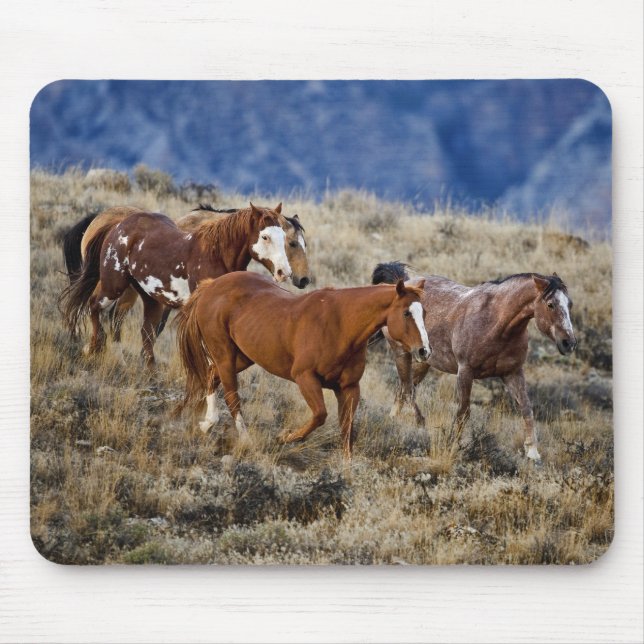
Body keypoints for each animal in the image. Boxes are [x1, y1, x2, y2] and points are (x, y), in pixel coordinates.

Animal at [60, 203, 292, 366]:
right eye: (265, 236)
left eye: (284, 237)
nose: (284, 272)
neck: (214, 255)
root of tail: (117, 226)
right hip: (113, 284)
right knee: (94, 306)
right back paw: (93, 348)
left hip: (151, 298)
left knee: (145, 332)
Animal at [177, 271, 431, 459]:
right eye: (406, 313)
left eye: (425, 312)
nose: (424, 351)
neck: (341, 325)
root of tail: (212, 285)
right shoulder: (305, 378)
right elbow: (320, 415)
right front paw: (284, 437)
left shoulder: (349, 388)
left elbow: (346, 429)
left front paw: (347, 466)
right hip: (225, 355)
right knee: (231, 396)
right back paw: (245, 439)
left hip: (242, 356)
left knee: (211, 376)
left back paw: (207, 424)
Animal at [372, 261, 577, 462]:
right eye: (550, 304)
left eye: (570, 304)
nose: (569, 343)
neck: (497, 323)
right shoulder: (465, 371)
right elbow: (463, 411)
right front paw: (452, 445)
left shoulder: (512, 373)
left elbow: (526, 408)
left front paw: (533, 453)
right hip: (402, 354)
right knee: (408, 390)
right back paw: (419, 422)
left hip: (423, 361)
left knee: (403, 389)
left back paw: (395, 420)